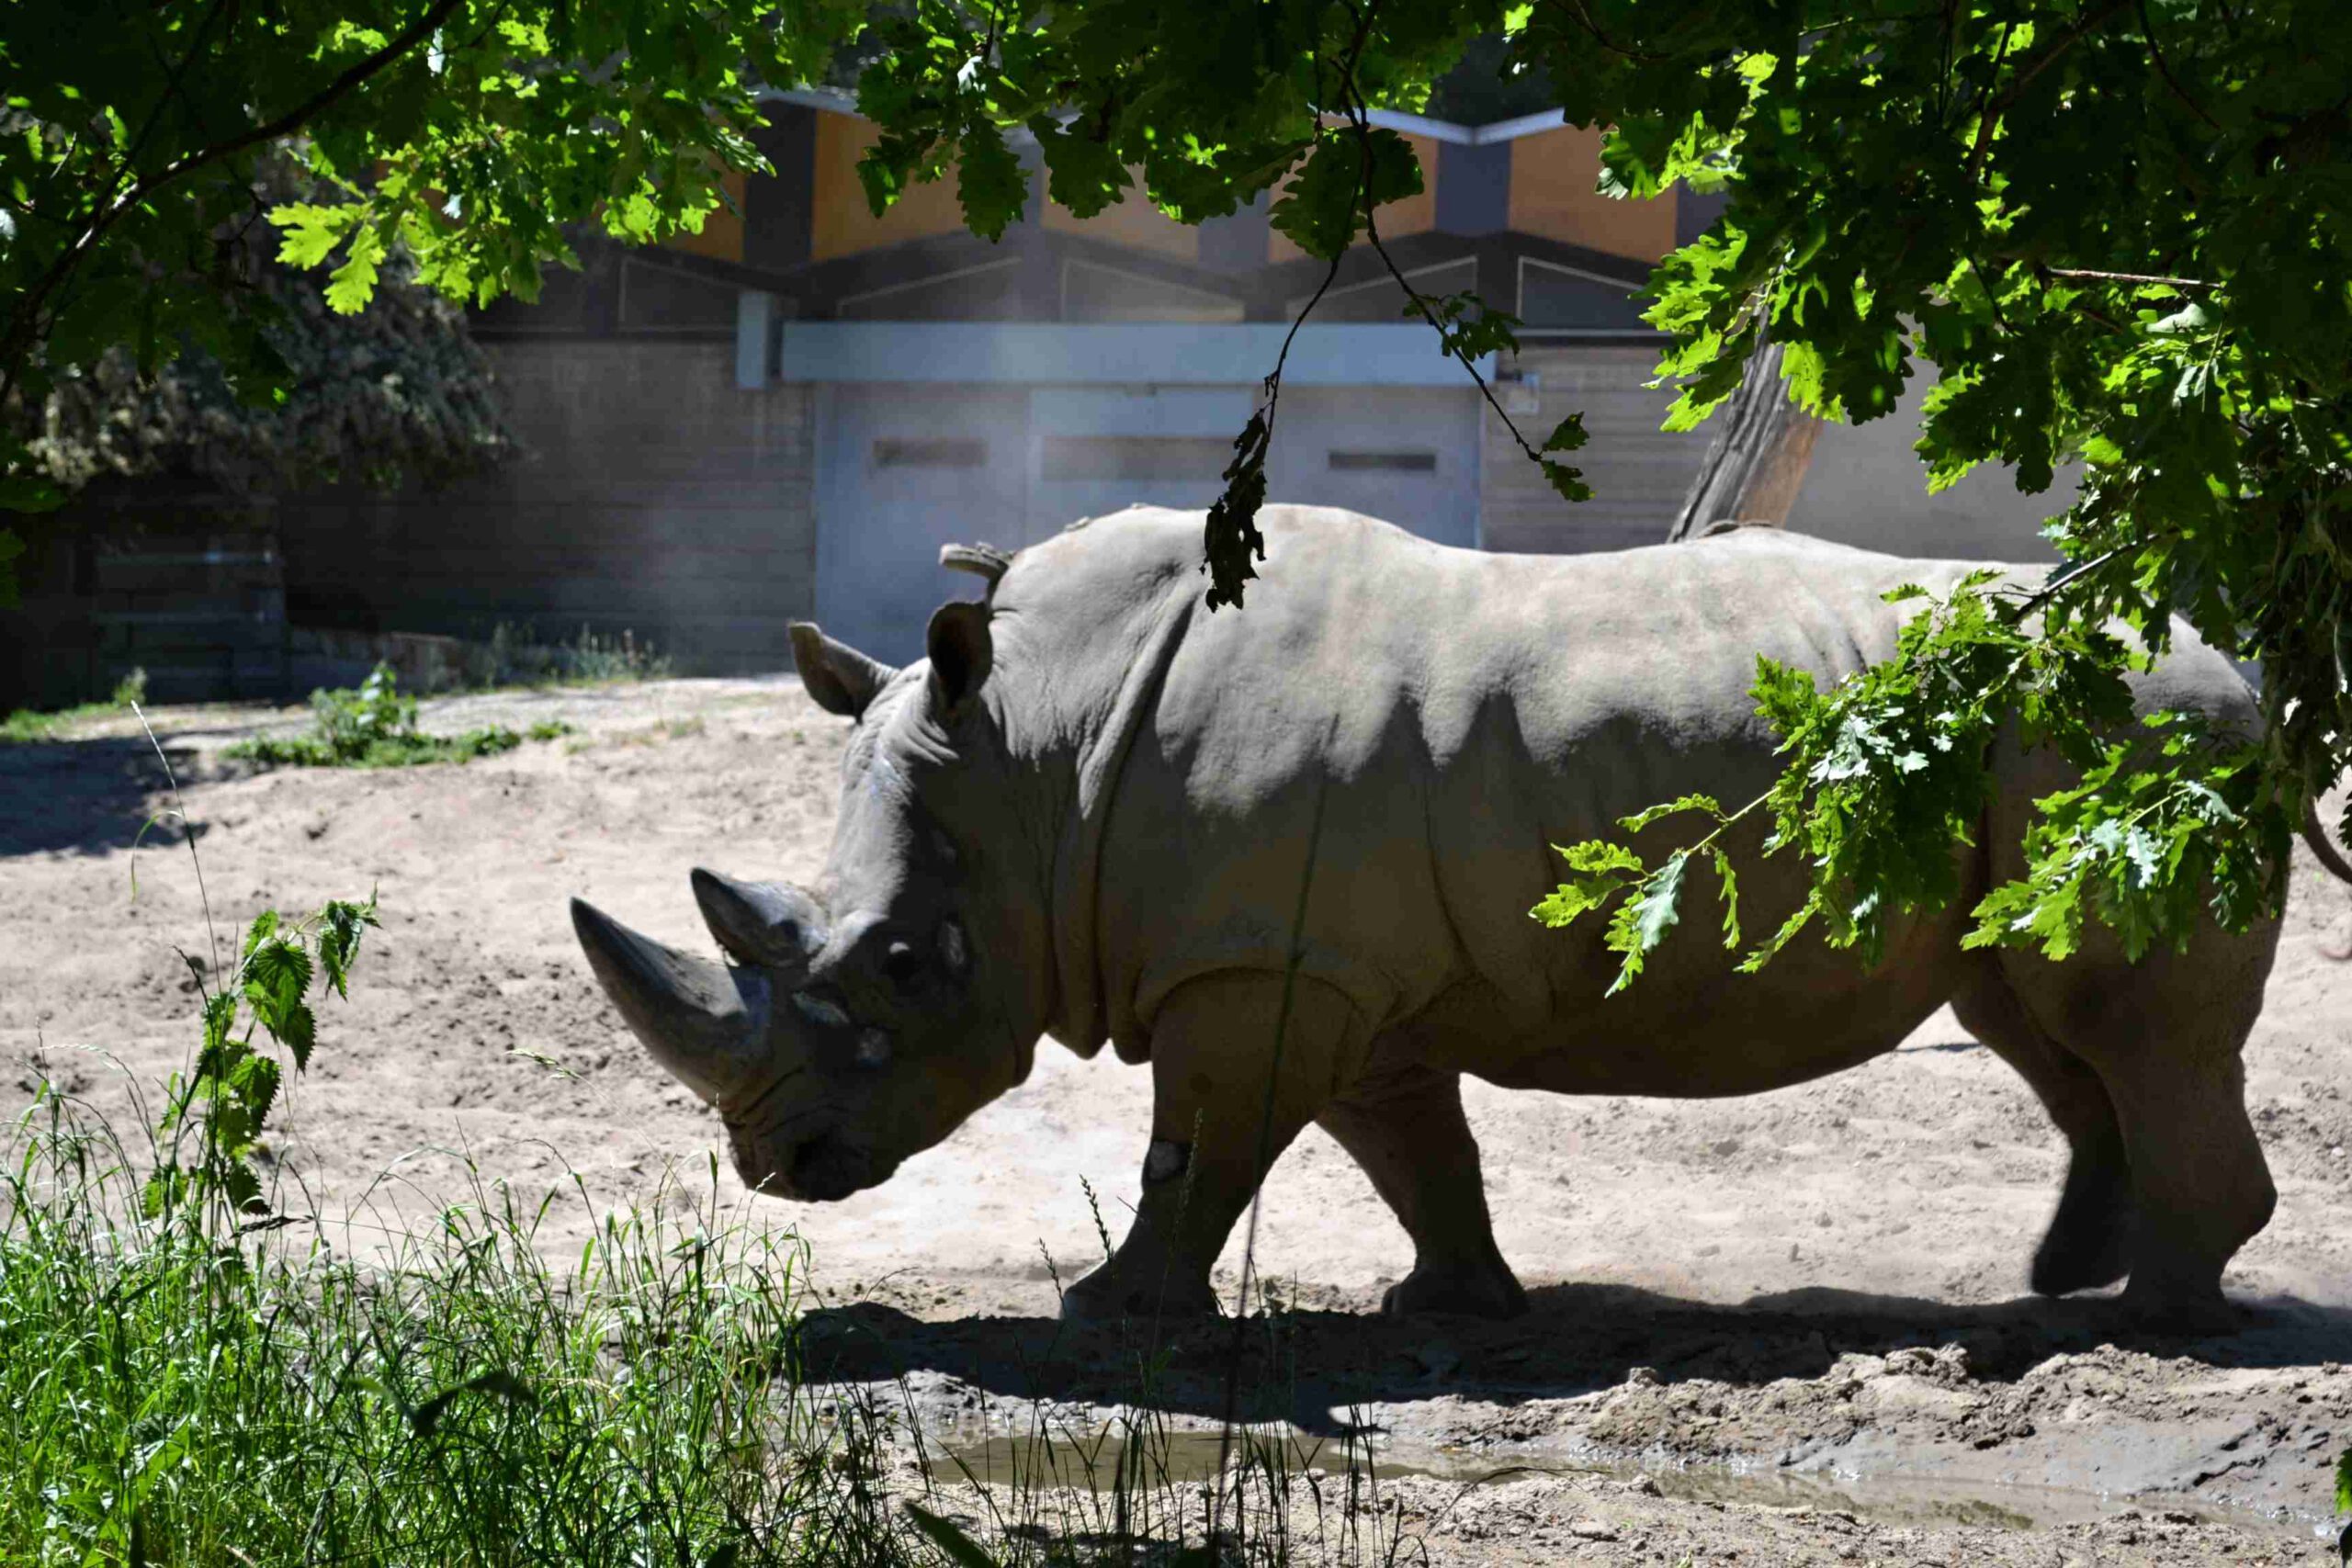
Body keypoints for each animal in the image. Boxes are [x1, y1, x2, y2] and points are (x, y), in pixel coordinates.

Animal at [573, 505, 2352, 1328]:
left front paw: (1110, 1310)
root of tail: (2246, 669)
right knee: (2039, 1019)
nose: (778, 1165)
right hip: (2055, 759)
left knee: (2118, 1026)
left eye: (895, 963)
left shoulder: (1258, 966)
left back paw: (2154, 1318)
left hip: (2132, 738)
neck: (1035, 756)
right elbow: (1411, 1146)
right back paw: (2066, 1282)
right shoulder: (1327, 964)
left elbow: (1191, 1154)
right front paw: (1446, 1307)